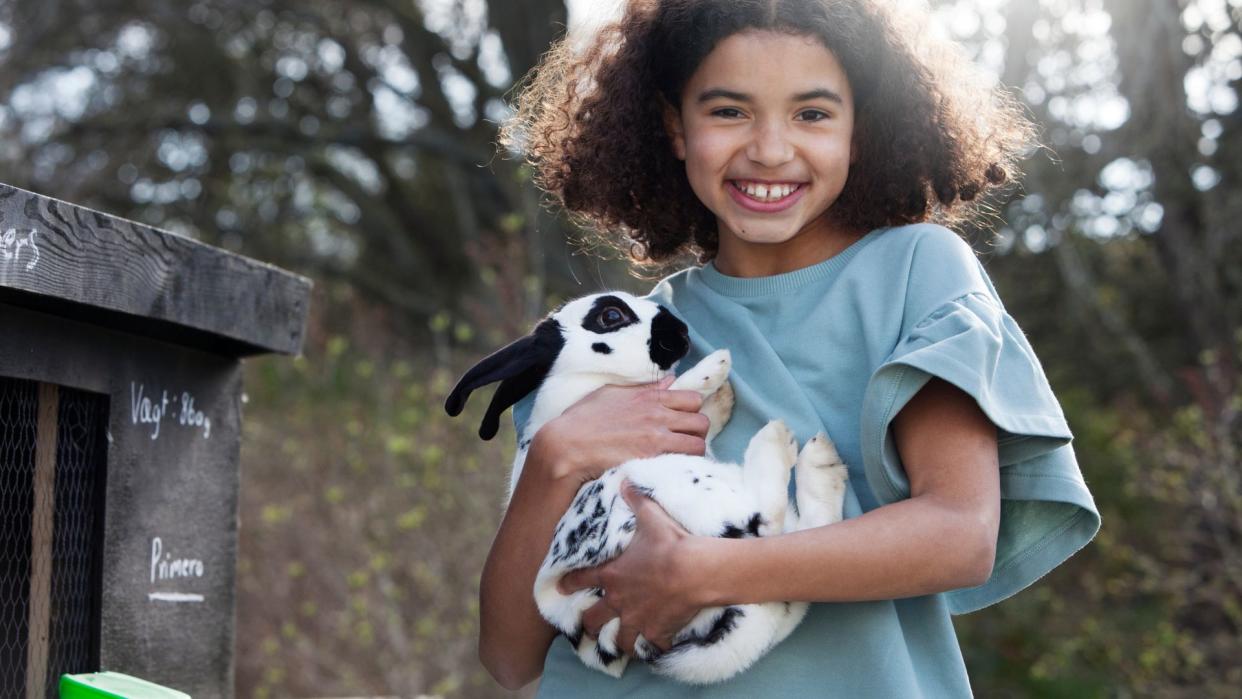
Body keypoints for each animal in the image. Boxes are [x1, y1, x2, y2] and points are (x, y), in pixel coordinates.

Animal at [449, 293, 854, 685]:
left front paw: (721, 401)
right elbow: (675, 387)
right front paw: (717, 367)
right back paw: (779, 440)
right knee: (767, 522)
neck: (584, 374)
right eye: (610, 316)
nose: (682, 330)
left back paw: (821, 463)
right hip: (680, 488)